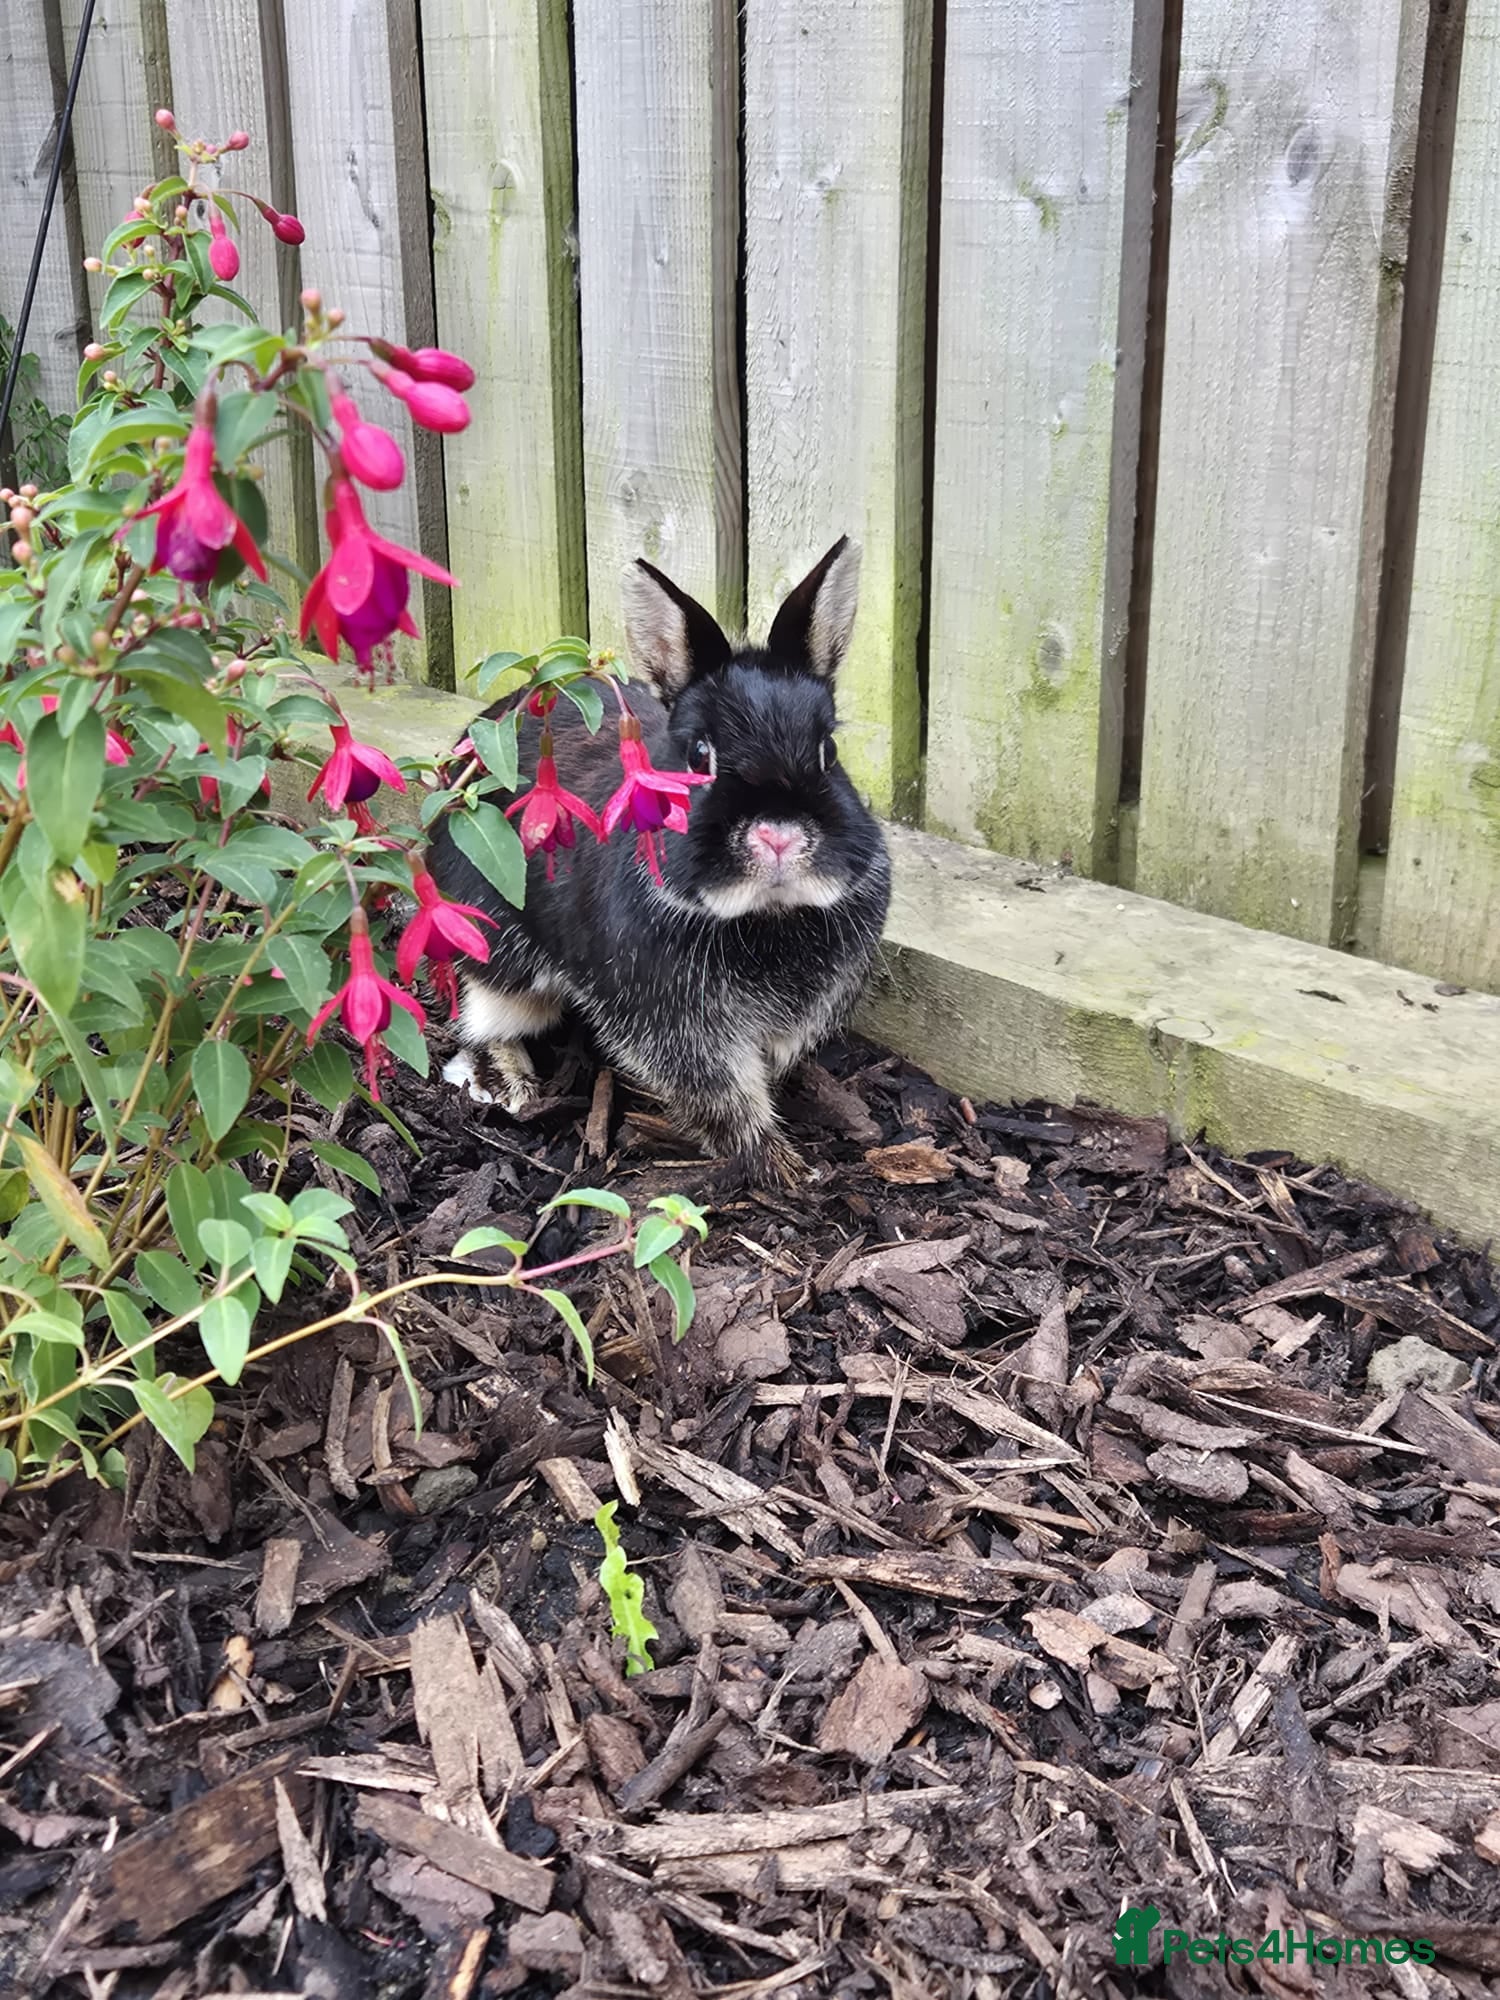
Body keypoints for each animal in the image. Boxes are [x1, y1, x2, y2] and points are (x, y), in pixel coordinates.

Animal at [425, 536, 891, 1184]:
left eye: (829, 751)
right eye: (699, 755)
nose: (777, 837)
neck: (764, 916)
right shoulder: (674, 1024)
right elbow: (722, 1096)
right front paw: (783, 1168)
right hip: (494, 949)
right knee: (484, 1020)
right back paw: (514, 1088)